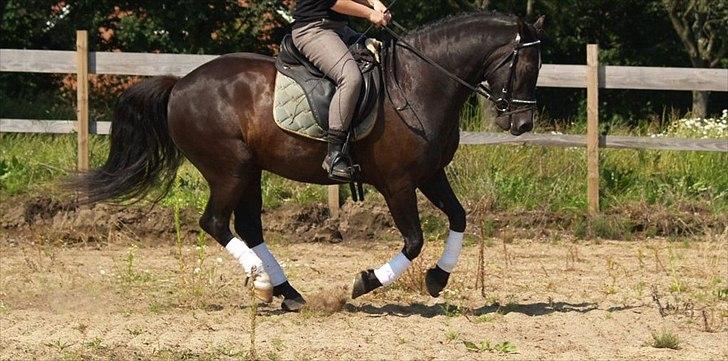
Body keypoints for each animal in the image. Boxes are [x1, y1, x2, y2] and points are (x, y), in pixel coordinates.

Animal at [72, 11, 544, 310]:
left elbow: (459, 218)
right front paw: (364, 283)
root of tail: (180, 84)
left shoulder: (430, 174)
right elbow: (413, 241)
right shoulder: (397, 183)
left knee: (248, 226)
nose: (521, 123)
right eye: (524, 64)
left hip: (251, 171)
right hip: (230, 169)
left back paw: (287, 292)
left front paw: (437, 279)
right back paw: (266, 284)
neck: (419, 81)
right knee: (215, 222)